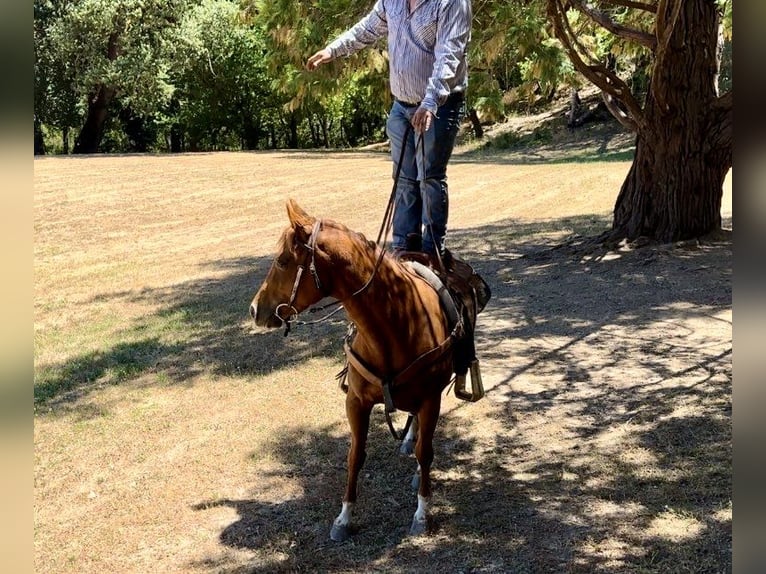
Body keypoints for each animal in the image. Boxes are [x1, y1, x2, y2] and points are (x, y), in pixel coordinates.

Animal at [249, 200, 460, 544]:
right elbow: (355, 456)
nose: (254, 309)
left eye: (282, 261)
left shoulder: (431, 399)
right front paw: (344, 518)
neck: (396, 321)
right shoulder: (357, 402)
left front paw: (422, 513)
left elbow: (426, 452)